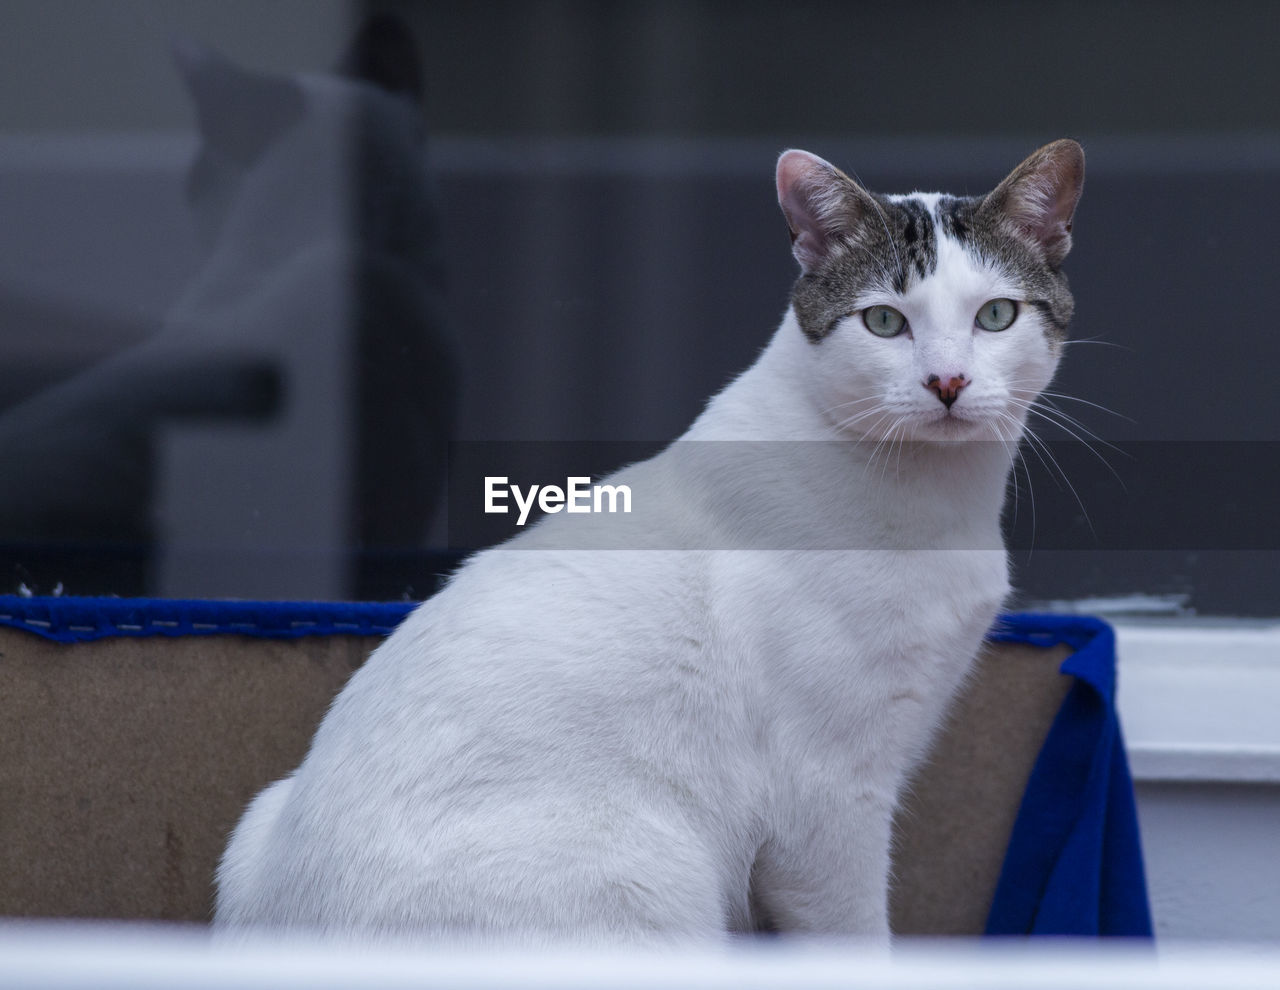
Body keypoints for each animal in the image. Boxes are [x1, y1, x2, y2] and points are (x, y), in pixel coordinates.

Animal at [215, 138, 1085, 942]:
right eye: (884, 321)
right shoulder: (828, 797)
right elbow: (856, 939)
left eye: (995, 315)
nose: (947, 382)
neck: (943, 501)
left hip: (257, 819)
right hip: (654, 869)